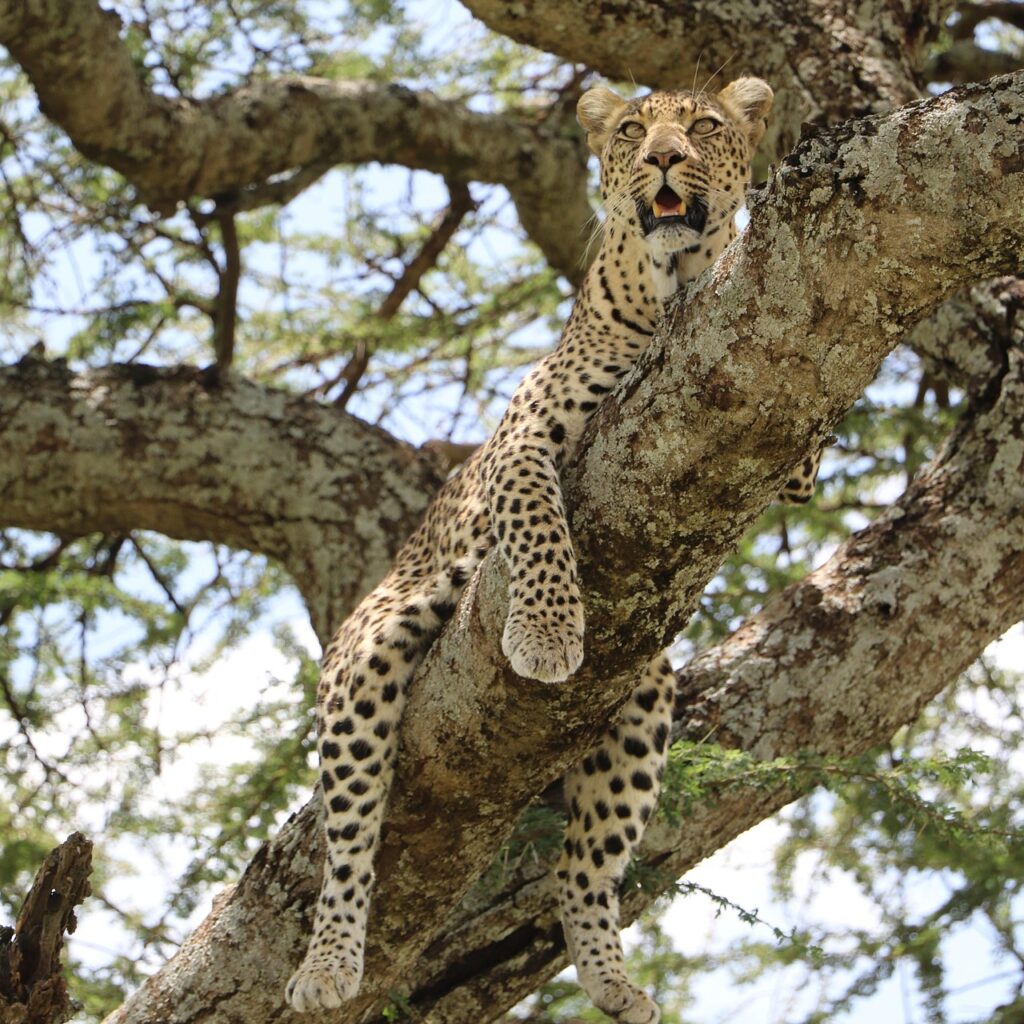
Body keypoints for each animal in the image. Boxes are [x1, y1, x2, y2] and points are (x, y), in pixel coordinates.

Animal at [286, 77, 819, 1023]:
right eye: (635, 129)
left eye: (705, 126)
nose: (664, 157)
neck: (673, 290)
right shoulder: (522, 442)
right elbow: (538, 524)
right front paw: (543, 632)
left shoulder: (785, 445)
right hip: (366, 656)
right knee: (350, 837)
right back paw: (329, 963)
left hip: (646, 697)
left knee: (583, 870)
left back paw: (610, 976)